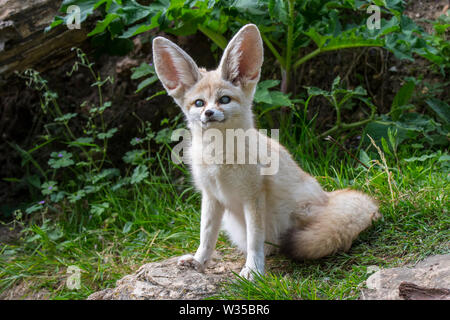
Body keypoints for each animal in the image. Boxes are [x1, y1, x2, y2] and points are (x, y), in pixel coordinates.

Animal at [152, 23, 380, 278]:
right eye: (199, 103)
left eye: (224, 99)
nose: (209, 113)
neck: (220, 159)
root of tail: (329, 197)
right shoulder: (211, 197)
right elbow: (207, 235)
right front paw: (199, 261)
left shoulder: (253, 196)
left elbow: (254, 239)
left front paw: (252, 269)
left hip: (298, 212)